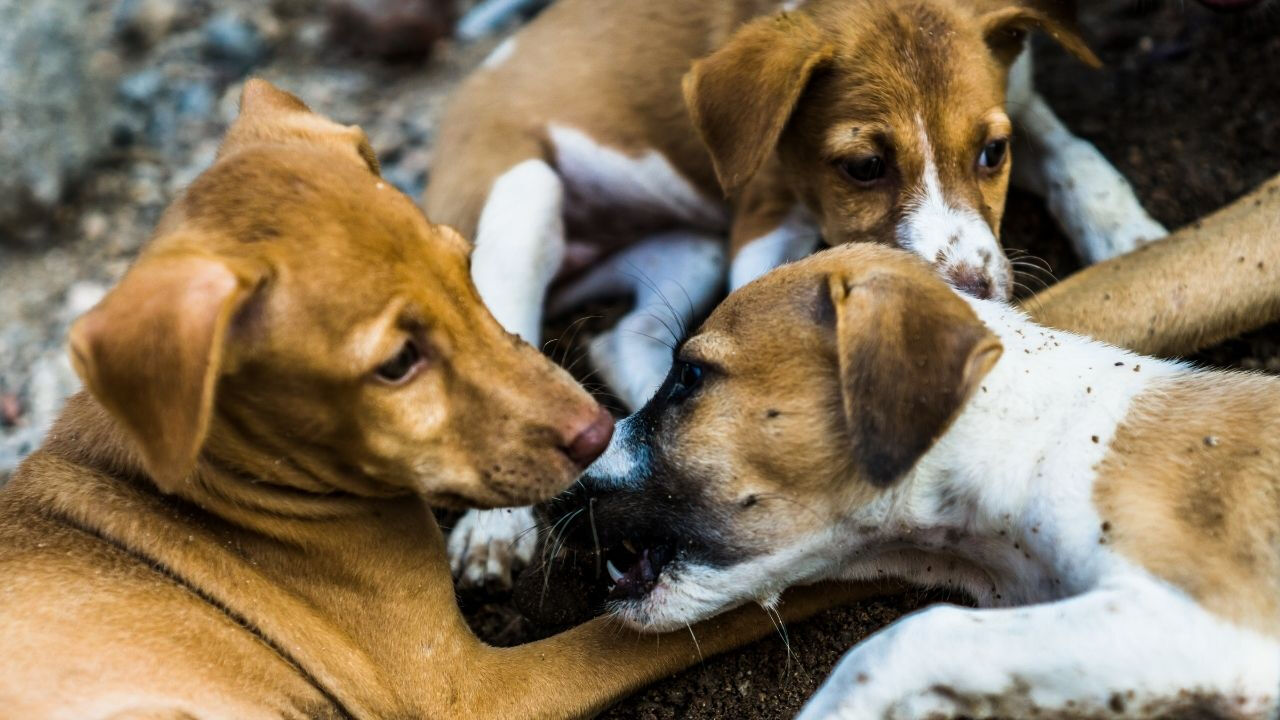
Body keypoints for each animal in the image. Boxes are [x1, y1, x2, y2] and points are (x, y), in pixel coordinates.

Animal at [0, 79, 870, 717]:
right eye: (395, 364)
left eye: (464, 268)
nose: (599, 434)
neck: (222, 486)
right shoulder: (465, 692)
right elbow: (659, 628)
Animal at [430, 0, 1172, 586]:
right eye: (864, 167)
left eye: (993, 154)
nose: (974, 293)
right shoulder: (761, 209)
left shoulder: (1021, 101)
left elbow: (1077, 155)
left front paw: (1131, 239)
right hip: (522, 195)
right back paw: (497, 527)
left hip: (683, 245)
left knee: (619, 338)